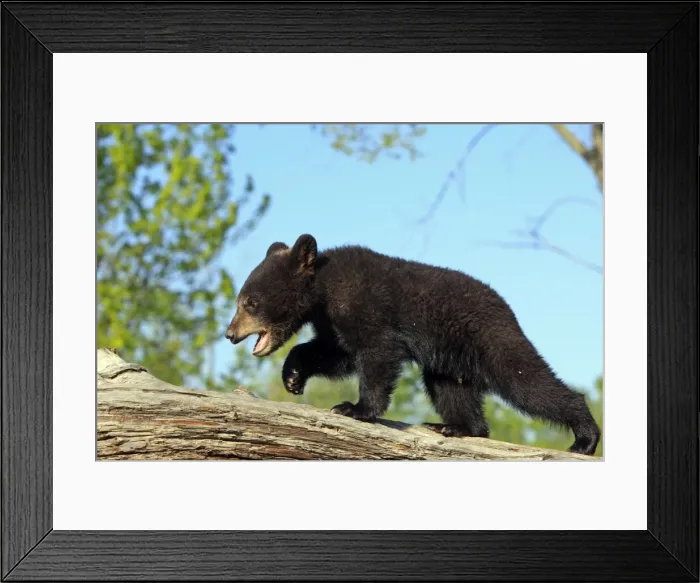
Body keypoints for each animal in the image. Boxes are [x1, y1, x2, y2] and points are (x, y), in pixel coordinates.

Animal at [224, 234, 601, 456]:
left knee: (527, 381)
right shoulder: (332, 321)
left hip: (493, 338)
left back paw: (584, 437)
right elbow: (335, 353)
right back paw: (455, 426)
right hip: (450, 361)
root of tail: (507, 308)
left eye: (250, 303)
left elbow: (376, 354)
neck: (325, 291)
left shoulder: (367, 305)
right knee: (451, 391)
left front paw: (355, 408)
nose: (230, 333)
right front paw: (293, 377)